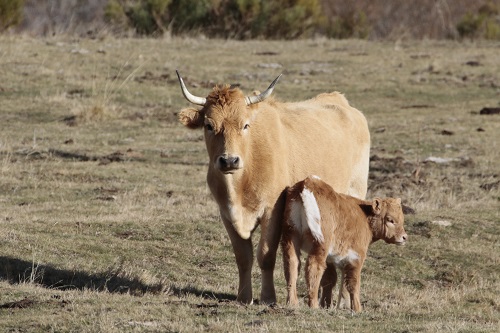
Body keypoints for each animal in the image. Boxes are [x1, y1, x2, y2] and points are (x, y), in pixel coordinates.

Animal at [177, 71, 372, 304]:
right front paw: (244, 297)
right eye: (209, 125)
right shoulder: (226, 213)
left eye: (245, 125)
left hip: (355, 192)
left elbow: (266, 255)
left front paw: (268, 297)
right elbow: (243, 257)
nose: (229, 160)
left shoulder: (273, 211)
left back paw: (342, 301)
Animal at [282, 176, 406, 312]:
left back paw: (292, 303)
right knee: (314, 267)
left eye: (402, 219)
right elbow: (353, 283)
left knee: (292, 264)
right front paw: (357, 309)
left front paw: (327, 305)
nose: (404, 237)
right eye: (390, 220)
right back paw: (313, 305)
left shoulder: (331, 258)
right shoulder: (356, 257)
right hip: (320, 243)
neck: (364, 217)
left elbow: (330, 279)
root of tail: (309, 182)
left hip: (291, 235)